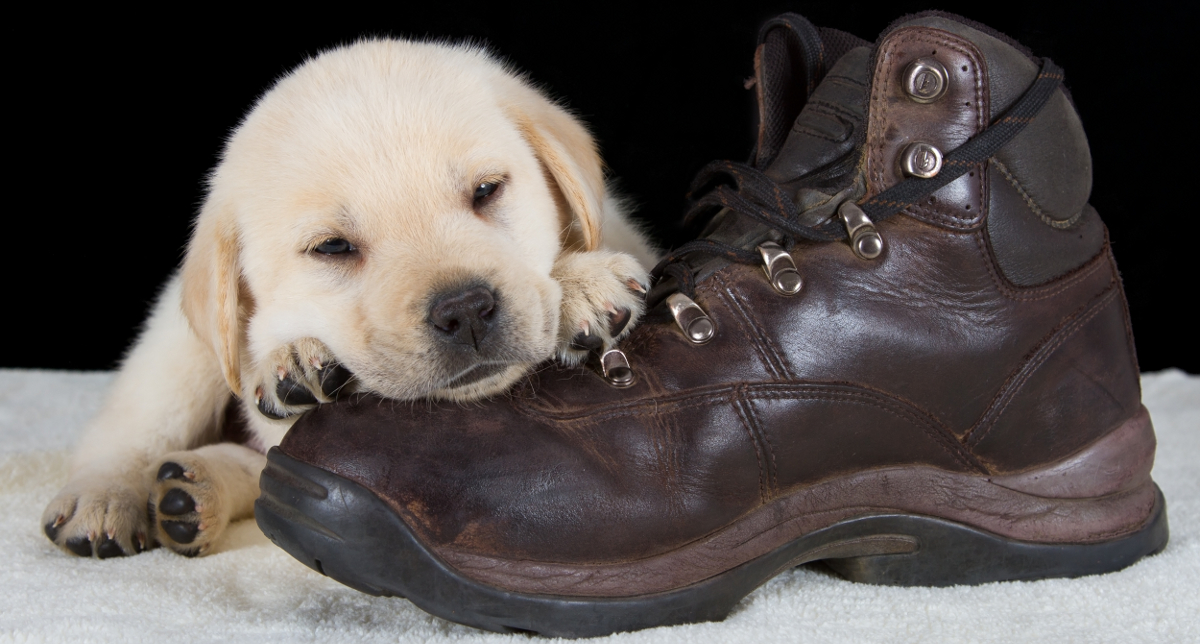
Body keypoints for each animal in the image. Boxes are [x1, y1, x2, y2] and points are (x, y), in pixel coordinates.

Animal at [42, 37, 657, 554]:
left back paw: (190, 494)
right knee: (131, 429)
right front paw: (296, 361)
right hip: (178, 353)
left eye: (487, 191)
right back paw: (109, 496)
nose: (465, 311)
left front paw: (579, 284)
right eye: (333, 247)